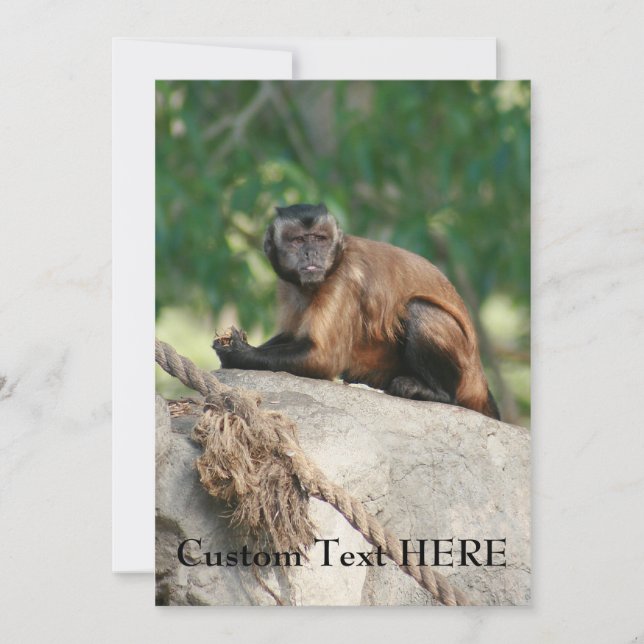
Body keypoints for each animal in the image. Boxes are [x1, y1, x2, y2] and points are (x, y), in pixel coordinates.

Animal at [213, 203, 500, 420]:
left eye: (320, 239)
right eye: (299, 240)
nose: (311, 253)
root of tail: (480, 380)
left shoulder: (343, 279)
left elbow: (323, 358)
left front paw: (238, 354)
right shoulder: (288, 286)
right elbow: (294, 336)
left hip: (465, 377)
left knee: (418, 308)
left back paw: (437, 394)